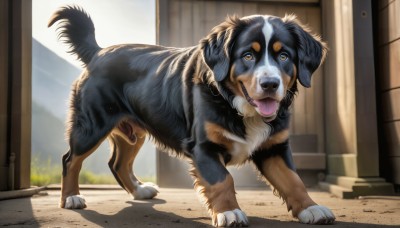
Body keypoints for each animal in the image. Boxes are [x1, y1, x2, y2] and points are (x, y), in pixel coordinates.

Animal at [49, 4, 334, 226]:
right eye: (248, 55)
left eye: (284, 56)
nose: (270, 84)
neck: (236, 105)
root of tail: (98, 52)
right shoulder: (203, 147)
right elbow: (222, 180)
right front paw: (229, 212)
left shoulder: (273, 147)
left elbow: (293, 180)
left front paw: (311, 208)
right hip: (91, 125)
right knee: (70, 160)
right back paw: (71, 197)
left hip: (134, 132)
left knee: (118, 163)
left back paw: (140, 191)